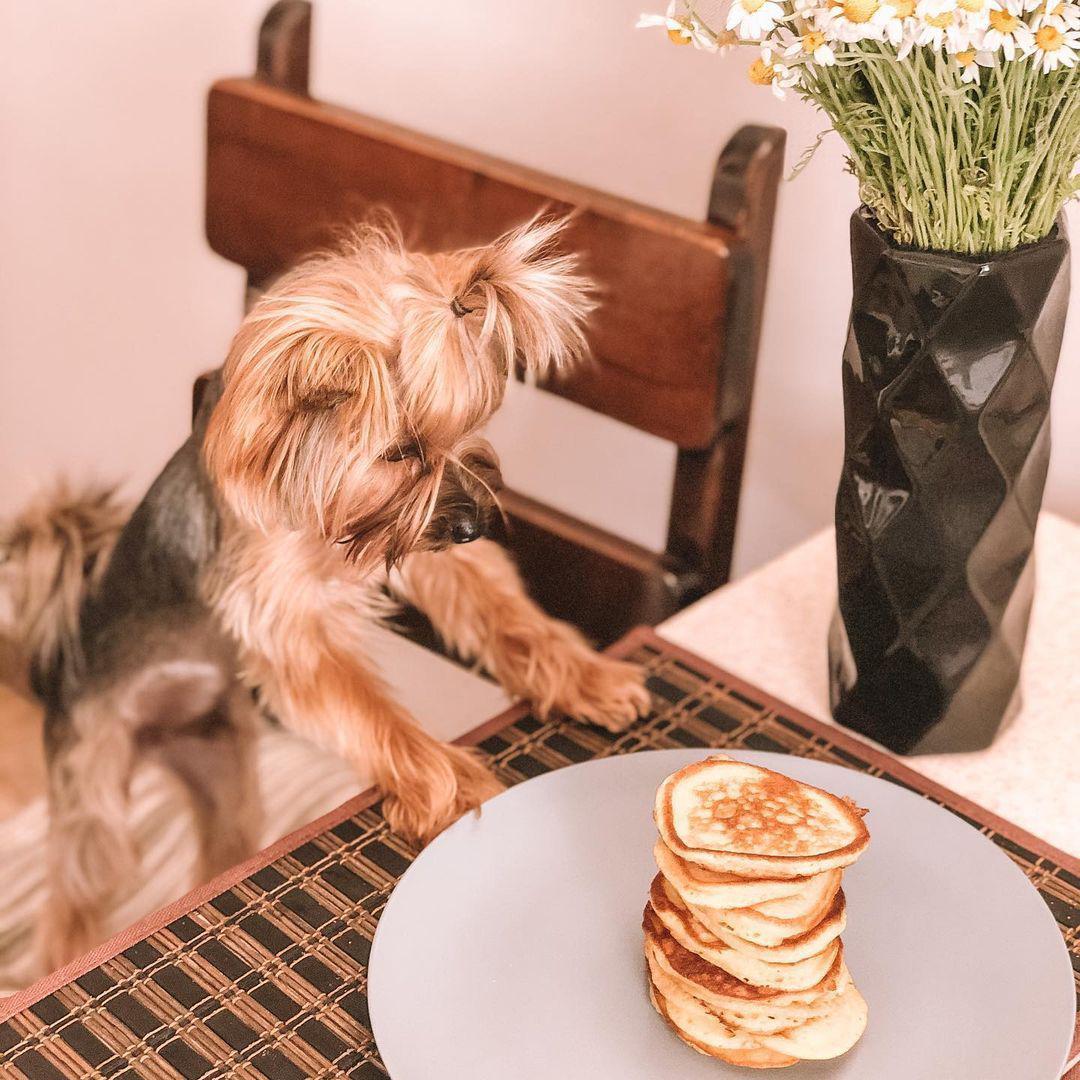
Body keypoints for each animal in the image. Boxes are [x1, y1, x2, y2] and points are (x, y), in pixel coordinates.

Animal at [8, 214, 648, 967]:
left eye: (469, 428)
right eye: (401, 451)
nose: (472, 526)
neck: (315, 507)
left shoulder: (414, 549)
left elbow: (495, 610)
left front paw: (588, 678)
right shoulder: (288, 616)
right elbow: (365, 708)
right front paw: (450, 782)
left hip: (222, 766)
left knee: (223, 836)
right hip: (95, 787)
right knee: (76, 897)